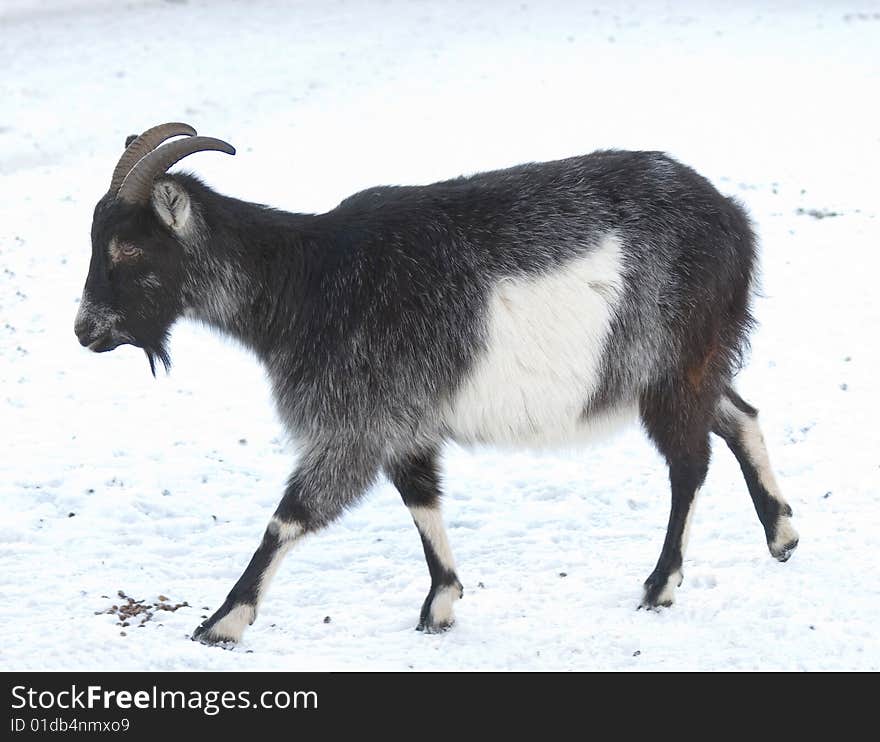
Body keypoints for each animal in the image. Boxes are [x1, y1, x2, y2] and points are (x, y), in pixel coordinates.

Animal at [74, 122, 796, 644]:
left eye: (128, 248)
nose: (85, 330)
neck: (306, 281)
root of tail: (734, 220)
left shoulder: (355, 423)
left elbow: (291, 516)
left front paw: (221, 623)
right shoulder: (403, 420)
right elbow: (421, 498)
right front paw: (441, 604)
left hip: (670, 366)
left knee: (691, 460)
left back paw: (660, 585)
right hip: (691, 362)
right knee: (740, 414)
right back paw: (782, 534)